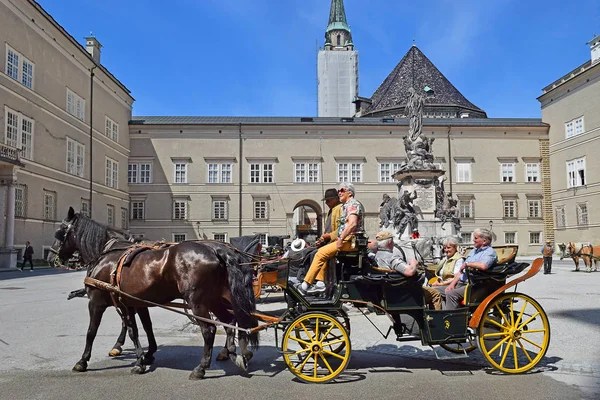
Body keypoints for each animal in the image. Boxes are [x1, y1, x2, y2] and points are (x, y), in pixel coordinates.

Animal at [51, 208, 258, 380]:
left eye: (60, 231)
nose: (52, 255)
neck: (107, 256)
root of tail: (216, 250)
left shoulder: (97, 303)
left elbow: (93, 332)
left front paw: (84, 360)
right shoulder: (134, 303)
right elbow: (142, 328)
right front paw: (145, 356)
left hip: (198, 302)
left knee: (210, 330)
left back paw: (202, 367)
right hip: (214, 298)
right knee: (230, 320)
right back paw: (234, 354)